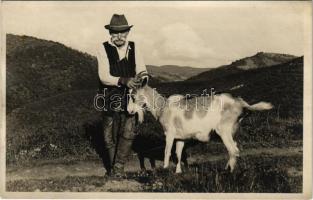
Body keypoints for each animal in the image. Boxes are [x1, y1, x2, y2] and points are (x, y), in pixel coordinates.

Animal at [128, 85, 272, 173]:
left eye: (133, 97)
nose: (129, 111)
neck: (163, 107)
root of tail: (241, 103)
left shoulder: (169, 134)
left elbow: (167, 151)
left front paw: (165, 169)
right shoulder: (181, 138)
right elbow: (178, 153)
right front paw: (178, 172)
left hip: (223, 131)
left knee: (234, 150)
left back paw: (229, 173)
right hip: (231, 132)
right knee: (234, 148)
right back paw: (227, 168)